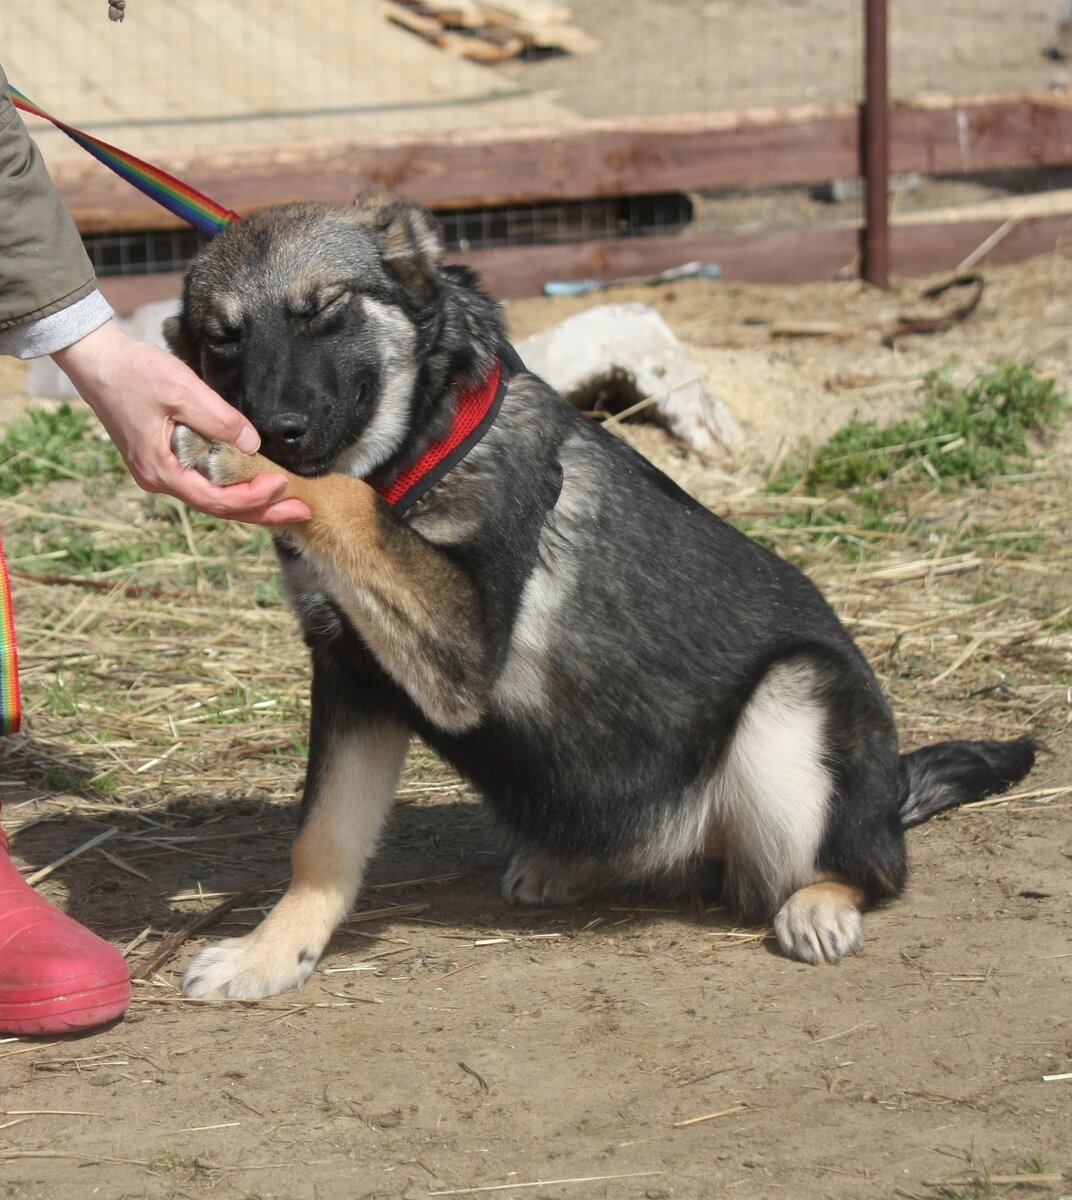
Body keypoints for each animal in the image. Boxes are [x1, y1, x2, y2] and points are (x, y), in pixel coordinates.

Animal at [165, 192, 1027, 1003]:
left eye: (324, 309)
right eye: (224, 337)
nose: (275, 428)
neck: (421, 441)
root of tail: (891, 799)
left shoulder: (459, 647)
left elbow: (344, 496)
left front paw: (237, 455)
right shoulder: (356, 678)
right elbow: (321, 841)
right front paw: (274, 954)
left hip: (797, 698)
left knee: (869, 869)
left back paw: (821, 901)